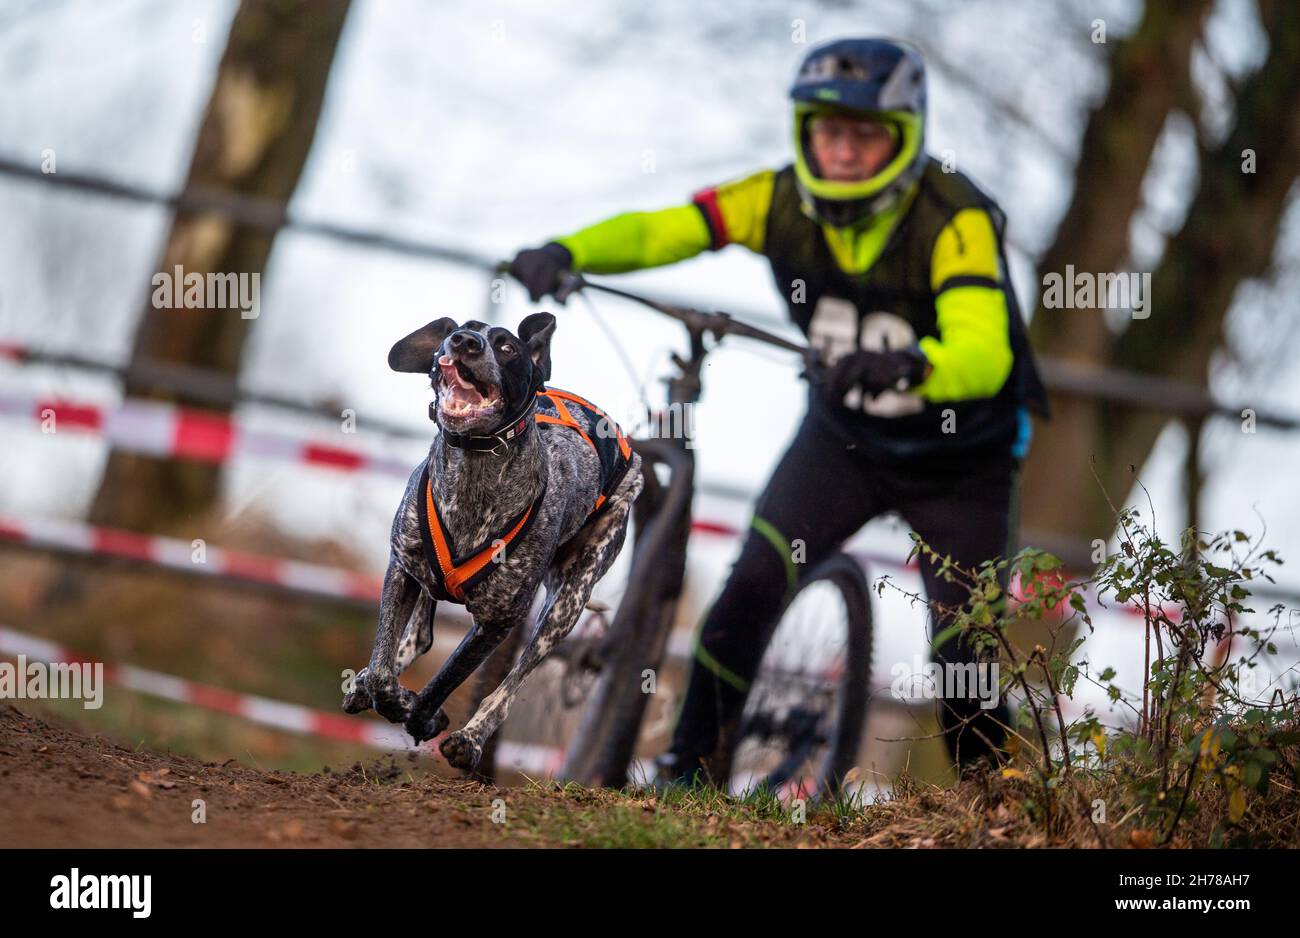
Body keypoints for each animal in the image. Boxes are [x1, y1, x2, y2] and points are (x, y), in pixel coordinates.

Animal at [343, 310, 642, 769]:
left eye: (507, 348)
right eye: (454, 333)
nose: (465, 343)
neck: (474, 475)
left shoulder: (498, 620)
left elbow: (442, 683)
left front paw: (423, 716)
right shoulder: (403, 566)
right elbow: (381, 670)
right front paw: (381, 687)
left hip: (567, 604)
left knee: (511, 684)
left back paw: (471, 737)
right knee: (417, 637)